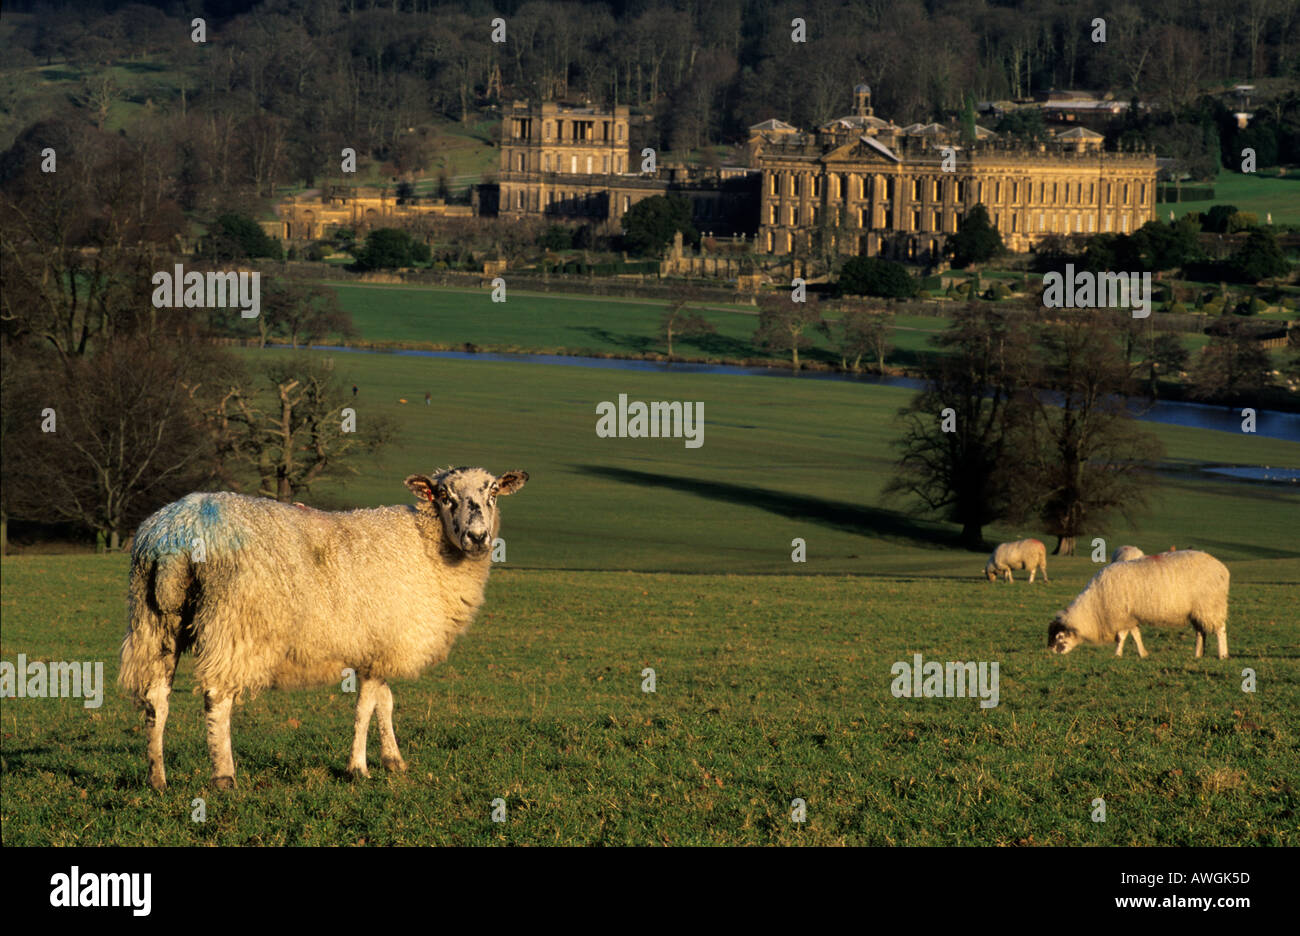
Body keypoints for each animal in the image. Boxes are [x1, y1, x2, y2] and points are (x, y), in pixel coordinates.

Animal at [120, 467, 527, 790]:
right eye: (445, 495)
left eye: (493, 493)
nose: (478, 537)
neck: (428, 546)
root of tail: (177, 533)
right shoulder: (380, 645)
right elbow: (365, 709)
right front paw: (358, 769)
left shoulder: (378, 646)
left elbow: (385, 703)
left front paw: (393, 761)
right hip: (233, 622)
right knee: (217, 698)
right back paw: (224, 776)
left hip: (153, 619)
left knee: (156, 698)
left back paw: (157, 778)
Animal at [1045, 548, 1227, 657]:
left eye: (1060, 636)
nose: (1050, 651)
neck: (1094, 607)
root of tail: (1221, 567)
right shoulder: (1129, 616)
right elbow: (1135, 634)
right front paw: (1142, 653)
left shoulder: (1121, 616)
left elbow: (1123, 636)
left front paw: (1117, 654)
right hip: (1199, 611)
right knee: (1200, 632)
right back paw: (1198, 654)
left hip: (1211, 606)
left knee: (1220, 630)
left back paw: (1223, 654)